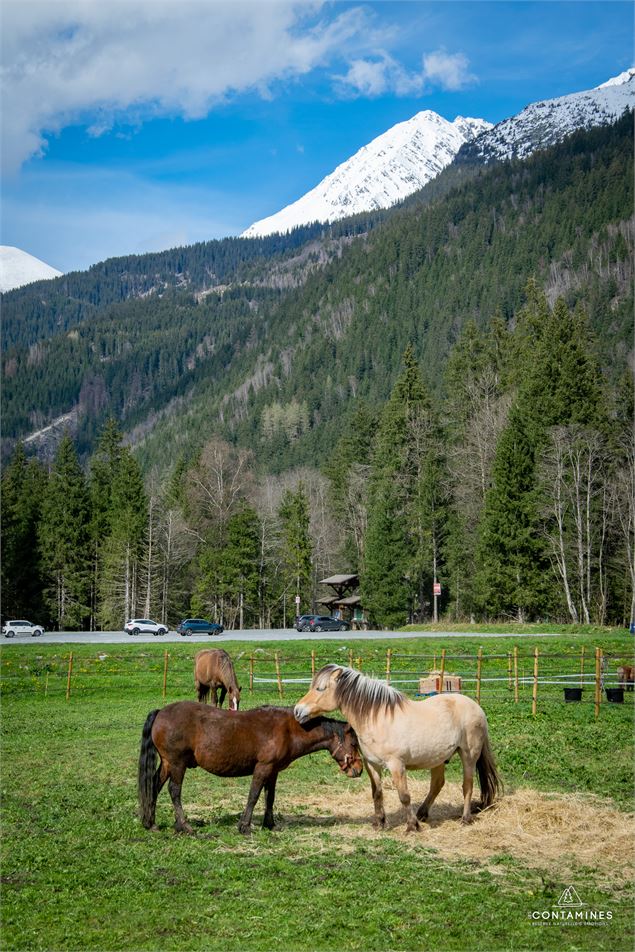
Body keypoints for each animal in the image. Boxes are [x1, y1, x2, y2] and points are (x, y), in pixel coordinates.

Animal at [139, 704, 362, 836]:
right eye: (353, 743)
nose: (358, 770)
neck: (289, 730)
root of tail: (161, 712)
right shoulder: (263, 767)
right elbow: (253, 795)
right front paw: (244, 826)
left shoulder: (273, 771)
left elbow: (269, 797)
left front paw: (269, 824)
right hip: (177, 764)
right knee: (174, 791)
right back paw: (184, 825)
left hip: (167, 764)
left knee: (154, 786)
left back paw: (151, 823)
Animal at [294, 660, 502, 832]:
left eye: (320, 688)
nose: (297, 710)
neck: (377, 720)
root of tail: (476, 707)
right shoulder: (372, 764)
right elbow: (377, 793)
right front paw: (380, 823)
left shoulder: (396, 765)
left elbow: (404, 796)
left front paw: (411, 827)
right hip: (438, 759)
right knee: (437, 784)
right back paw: (422, 814)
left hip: (468, 755)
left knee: (467, 785)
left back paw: (465, 819)